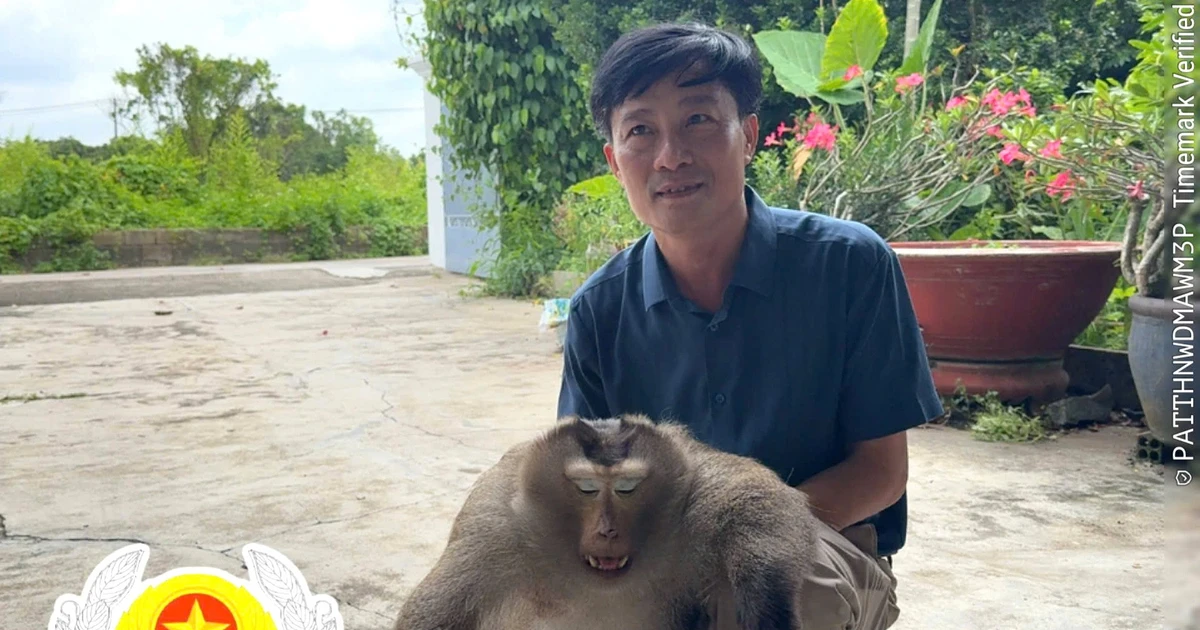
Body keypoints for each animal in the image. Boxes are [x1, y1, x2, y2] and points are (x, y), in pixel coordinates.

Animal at [392, 413, 820, 630]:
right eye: (586, 488)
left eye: (628, 487)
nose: (607, 530)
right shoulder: (495, 526)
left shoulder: (693, 495)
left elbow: (759, 496)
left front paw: (766, 597)